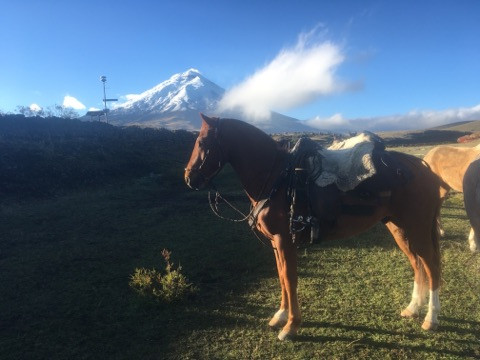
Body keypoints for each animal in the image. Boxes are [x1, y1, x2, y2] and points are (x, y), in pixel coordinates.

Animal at [185, 114, 442, 340]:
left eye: (202, 142)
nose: (189, 178)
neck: (277, 178)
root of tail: (423, 168)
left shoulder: (284, 240)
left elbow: (290, 279)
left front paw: (291, 326)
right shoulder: (276, 243)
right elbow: (281, 276)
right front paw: (280, 315)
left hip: (417, 228)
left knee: (431, 266)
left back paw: (431, 318)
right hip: (399, 229)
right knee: (417, 263)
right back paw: (413, 308)